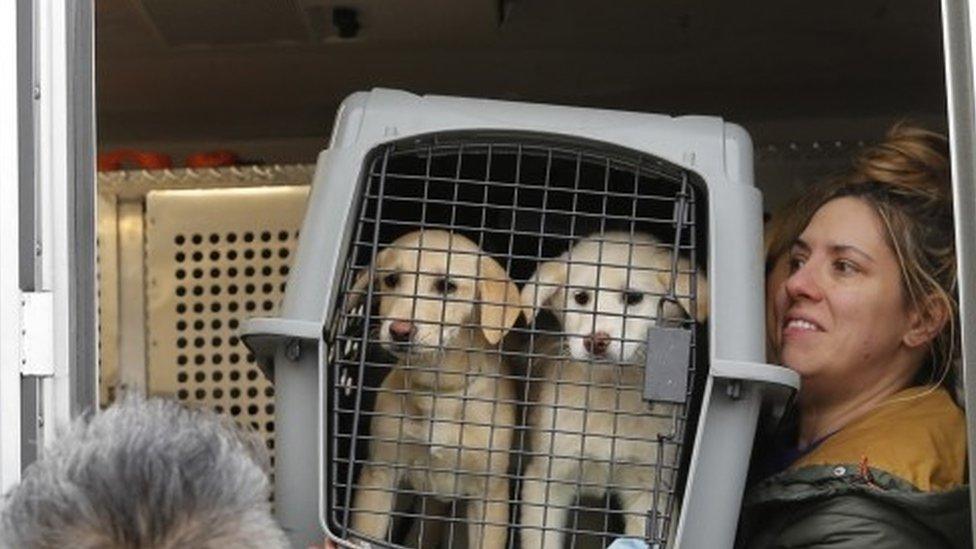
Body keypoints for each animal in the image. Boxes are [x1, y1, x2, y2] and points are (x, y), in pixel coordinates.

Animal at [348, 229, 528, 548]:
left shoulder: (489, 495)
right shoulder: (379, 475)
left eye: (447, 286)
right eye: (391, 280)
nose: (399, 331)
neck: (439, 389)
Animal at [520, 231, 708, 548]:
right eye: (581, 297)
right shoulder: (546, 481)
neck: (610, 391)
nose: (595, 341)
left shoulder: (649, 489)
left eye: (633, 298)